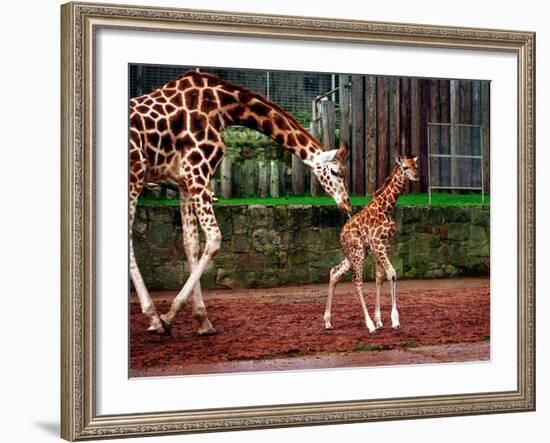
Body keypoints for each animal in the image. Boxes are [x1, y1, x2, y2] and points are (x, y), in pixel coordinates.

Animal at [131, 72, 352, 336]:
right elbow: (214, 237)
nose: (347, 205)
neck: (222, 108)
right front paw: (169, 316)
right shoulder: (197, 171)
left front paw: (202, 320)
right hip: (135, 175)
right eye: (336, 172)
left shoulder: (184, 181)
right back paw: (153, 317)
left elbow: (190, 244)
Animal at [326, 156, 420, 332]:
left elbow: (380, 277)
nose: (416, 176)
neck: (387, 207)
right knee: (356, 281)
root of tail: (341, 235)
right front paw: (394, 321)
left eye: (416, 166)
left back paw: (328, 321)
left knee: (335, 272)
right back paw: (369, 325)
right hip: (357, 253)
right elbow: (392, 273)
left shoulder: (385, 245)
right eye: (405, 167)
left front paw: (380, 321)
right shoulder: (378, 244)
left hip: (357, 253)